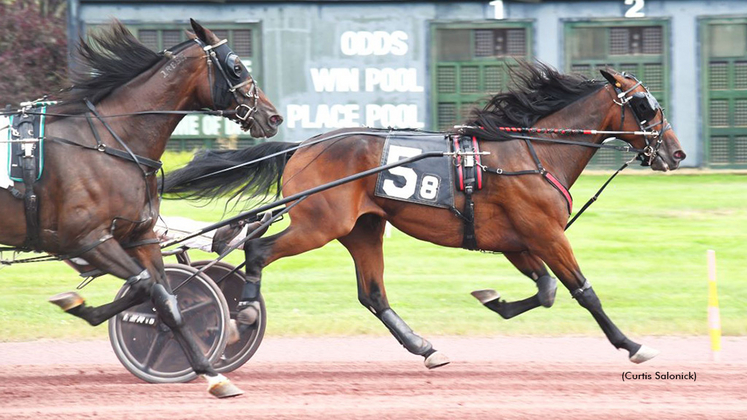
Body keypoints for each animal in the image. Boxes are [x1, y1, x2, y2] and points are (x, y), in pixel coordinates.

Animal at [0, 18, 280, 396]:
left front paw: (212, 372)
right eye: (237, 66)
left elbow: (164, 296)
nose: (273, 117)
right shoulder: (89, 240)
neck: (108, 142)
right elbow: (152, 290)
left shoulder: (140, 237)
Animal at [167, 62, 688, 368]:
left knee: (373, 294)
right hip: (319, 223)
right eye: (645, 105)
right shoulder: (546, 234)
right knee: (257, 247)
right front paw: (633, 345)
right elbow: (583, 292)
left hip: (362, 228)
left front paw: (493, 300)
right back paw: (244, 309)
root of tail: (305, 146)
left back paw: (424, 347)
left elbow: (545, 292)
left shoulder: (516, 241)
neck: (532, 153)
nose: (677, 153)